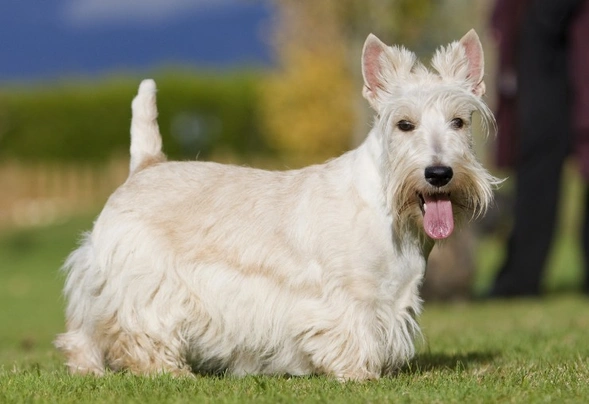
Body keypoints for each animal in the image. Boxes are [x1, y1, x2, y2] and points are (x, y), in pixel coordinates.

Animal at [54, 30, 496, 380]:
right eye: (404, 124)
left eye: (459, 121)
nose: (439, 173)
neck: (389, 210)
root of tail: (147, 164)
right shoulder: (344, 298)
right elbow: (351, 333)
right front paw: (358, 374)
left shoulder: (393, 296)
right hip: (140, 281)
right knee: (134, 327)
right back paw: (166, 371)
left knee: (83, 330)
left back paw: (89, 369)